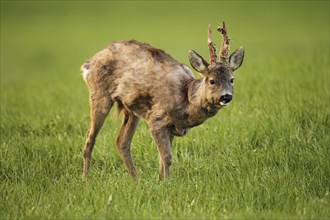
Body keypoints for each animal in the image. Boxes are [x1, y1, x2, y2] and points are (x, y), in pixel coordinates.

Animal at [81, 20, 244, 180]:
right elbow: (167, 157)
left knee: (121, 141)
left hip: (130, 109)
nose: (226, 96)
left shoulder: (172, 127)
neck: (186, 100)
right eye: (212, 81)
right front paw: (167, 182)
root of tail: (88, 63)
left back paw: (136, 179)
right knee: (90, 137)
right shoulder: (156, 120)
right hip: (99, 94)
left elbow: (161, 158)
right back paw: (85, 179)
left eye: (232, 79)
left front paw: (159, 180)